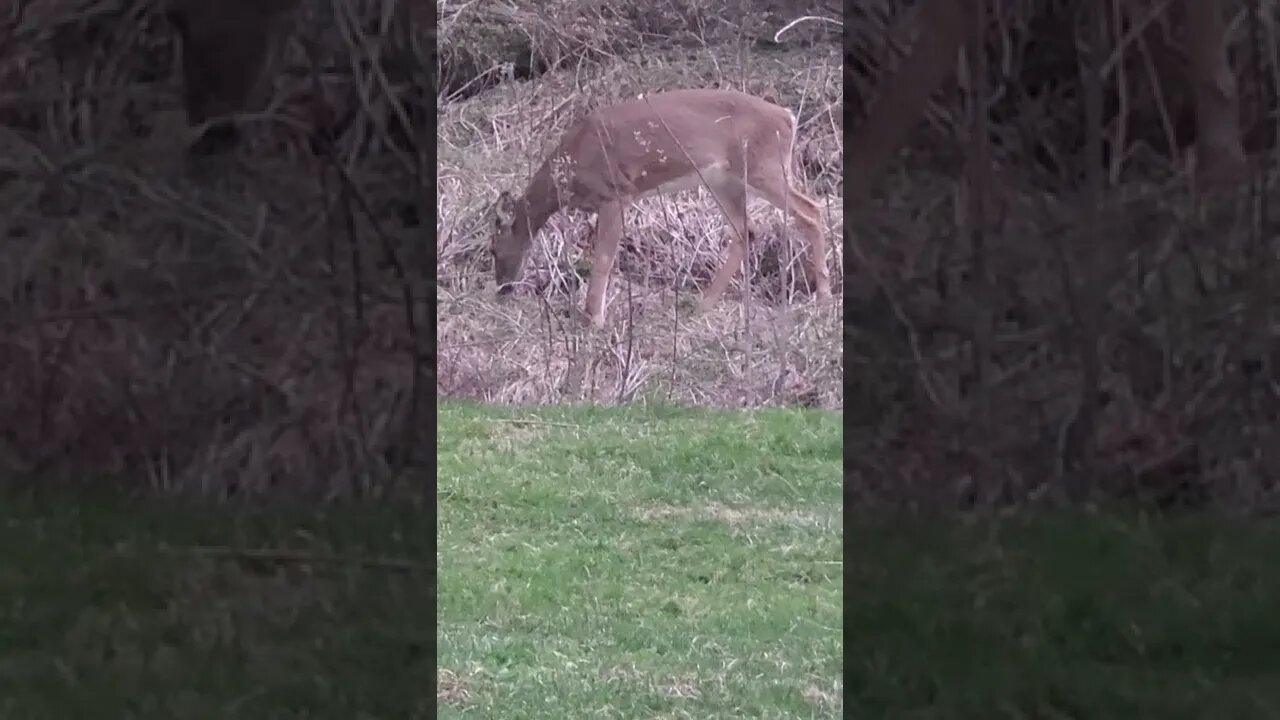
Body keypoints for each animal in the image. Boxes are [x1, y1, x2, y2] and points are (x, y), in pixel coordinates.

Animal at [486, 85, 829, 326]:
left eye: (493, 249)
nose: (501, 289)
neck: (569, 167)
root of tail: (788, 117)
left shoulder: (615, 193)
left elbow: (604, 259)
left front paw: (593, 319)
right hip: (725, 181)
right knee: (747, 230)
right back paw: (703, 305)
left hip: (764, 167)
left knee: (811, 211)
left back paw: (823, 297)